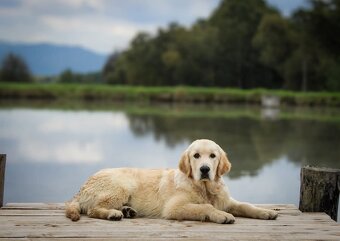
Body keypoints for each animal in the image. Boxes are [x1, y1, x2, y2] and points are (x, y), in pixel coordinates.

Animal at [65, 139, 278, 224]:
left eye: (212, 156)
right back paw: (113, 213)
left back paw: (127, 211)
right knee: (93, 209)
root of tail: (82, 187)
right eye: (196, 156)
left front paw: (266, 212)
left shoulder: (226, 200)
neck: (204, 188)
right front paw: (221, 215)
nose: (205, 169)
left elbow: (246, 205)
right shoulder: (174, 207)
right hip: (121, 186)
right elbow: (205, 207)